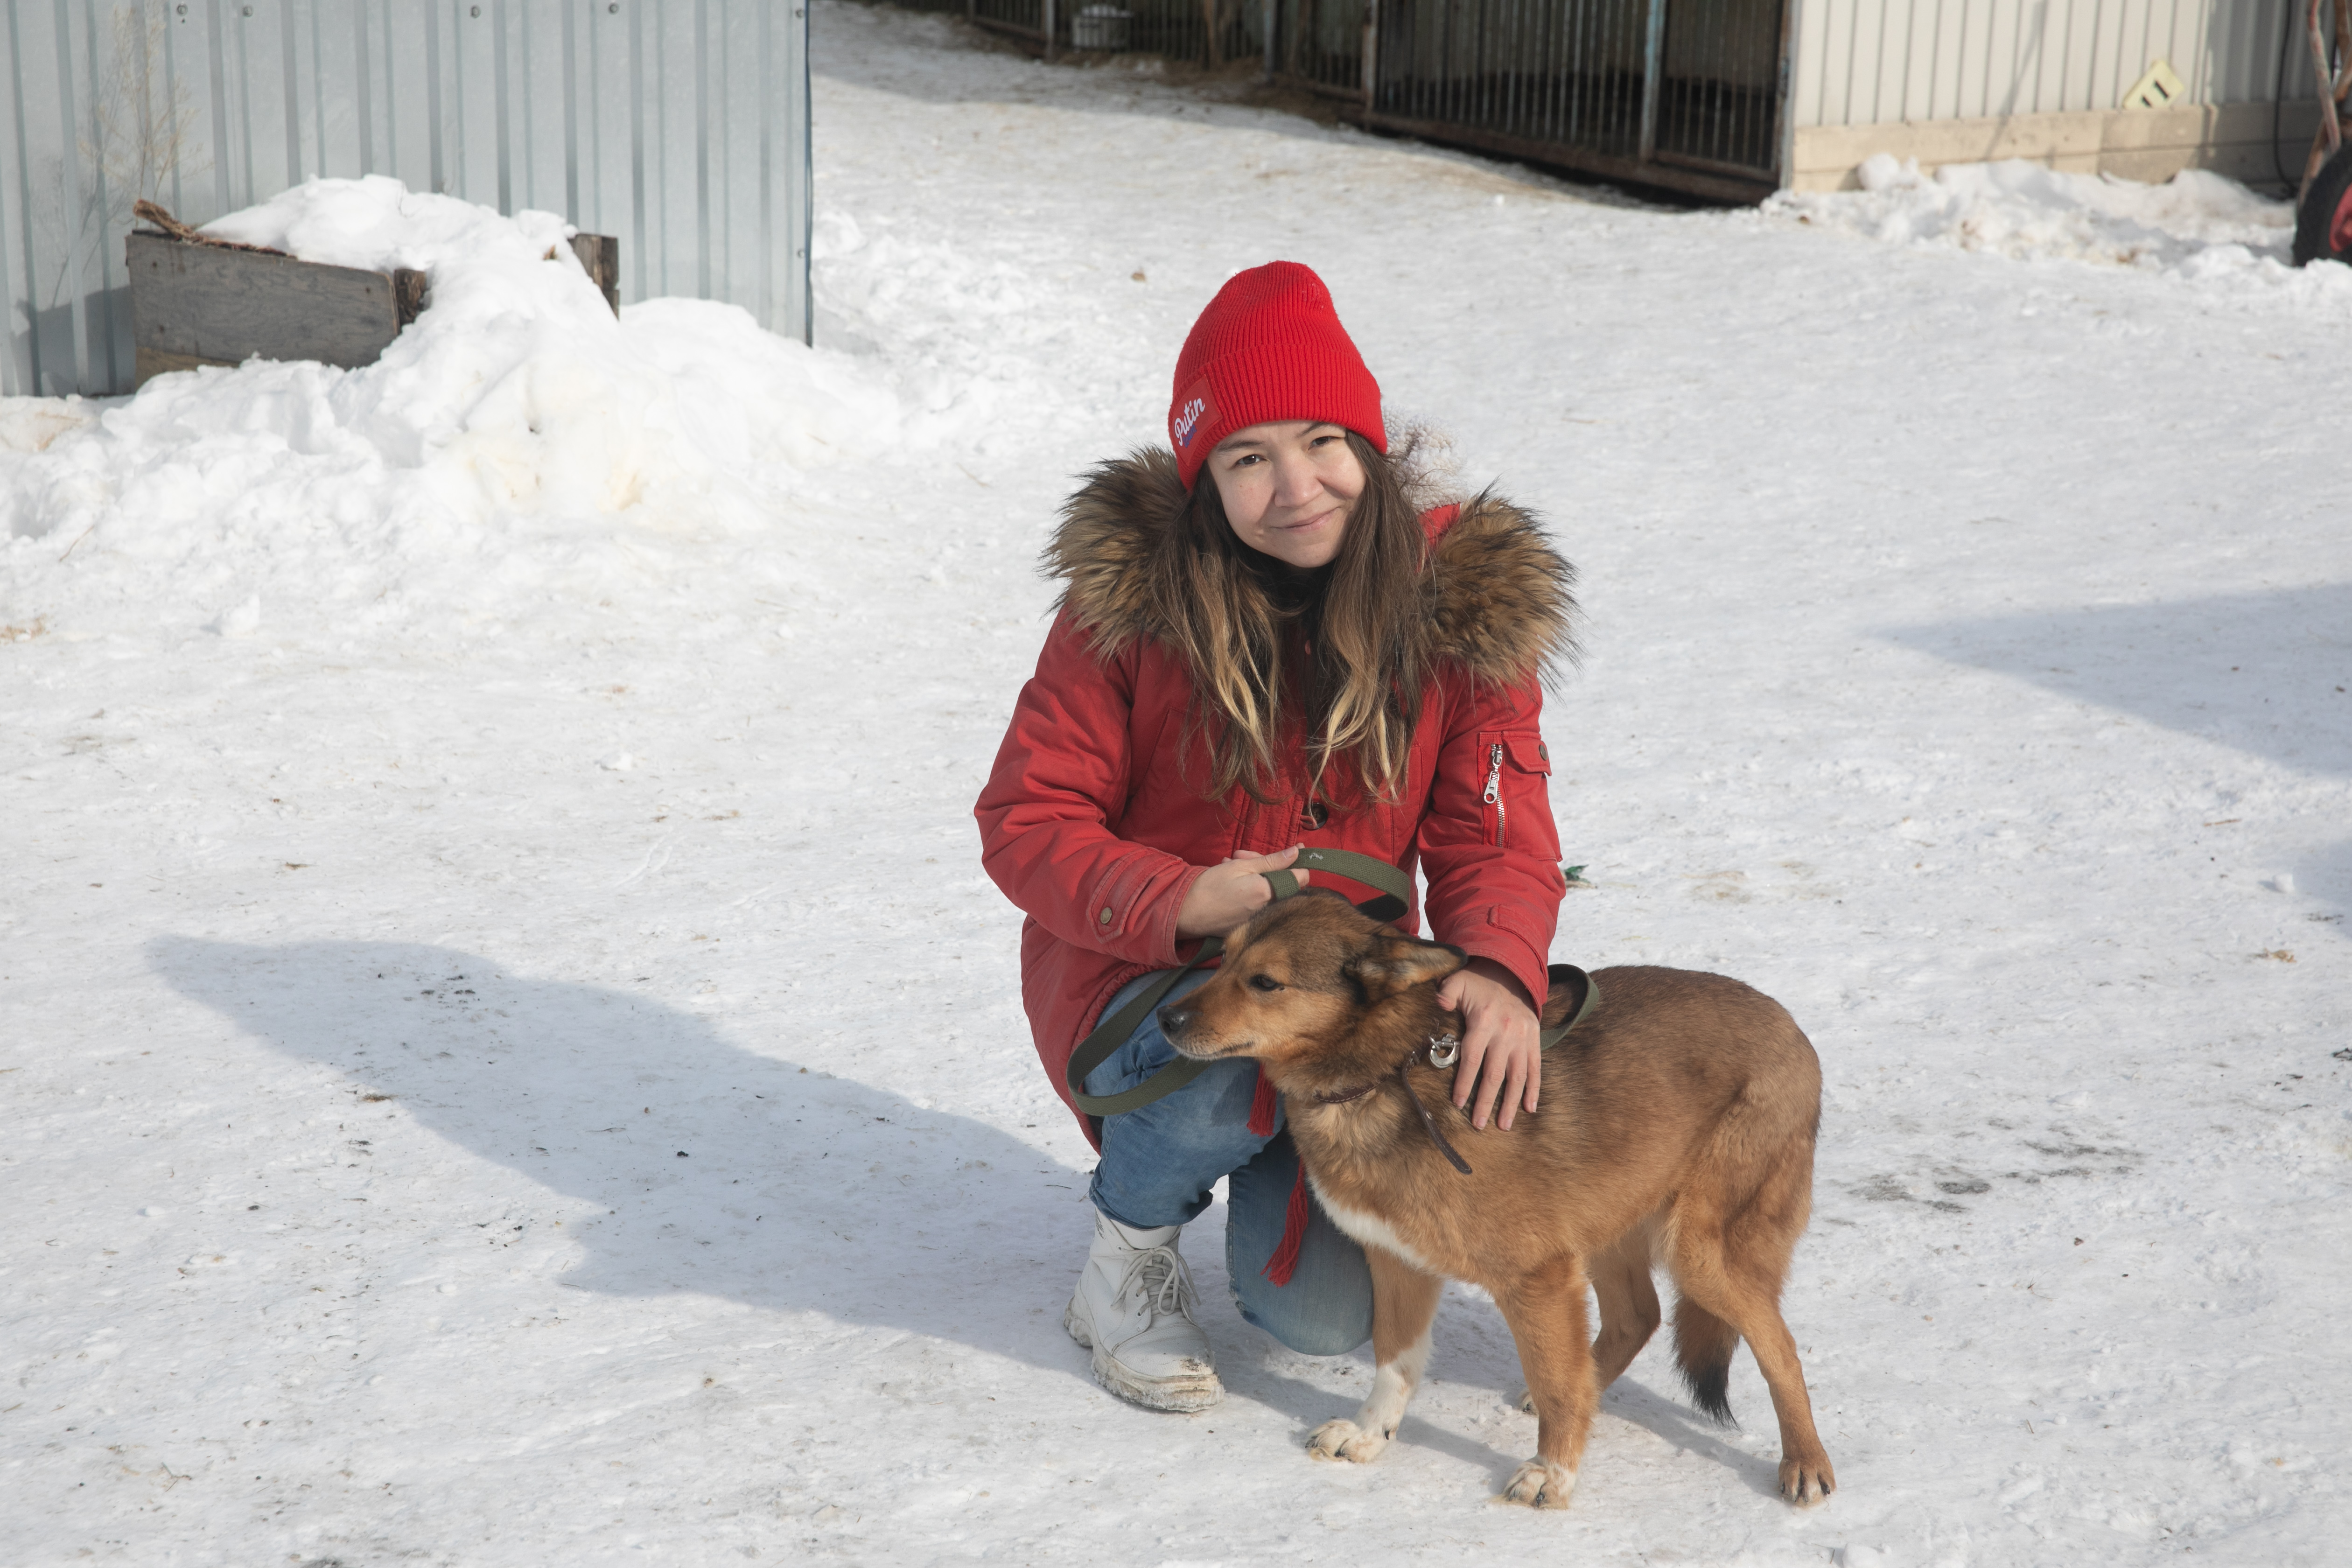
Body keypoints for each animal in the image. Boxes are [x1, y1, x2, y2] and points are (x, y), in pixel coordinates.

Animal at [1157, 893, 1834, 1523]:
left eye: (1265, 982)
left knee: (1779, 1346)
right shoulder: (1399, 1263)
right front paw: (1371, 1434)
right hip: (1609, 1218)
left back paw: (1804, 1463)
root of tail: (1793, 1028)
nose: (1166, 1016)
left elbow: (1558, 1386)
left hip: (1698, 1251)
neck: (1391, 1072)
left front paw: (1553, 1474)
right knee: (1637, 1317)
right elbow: (1395, 1363)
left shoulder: (1538, 1276)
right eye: (1223, 957)